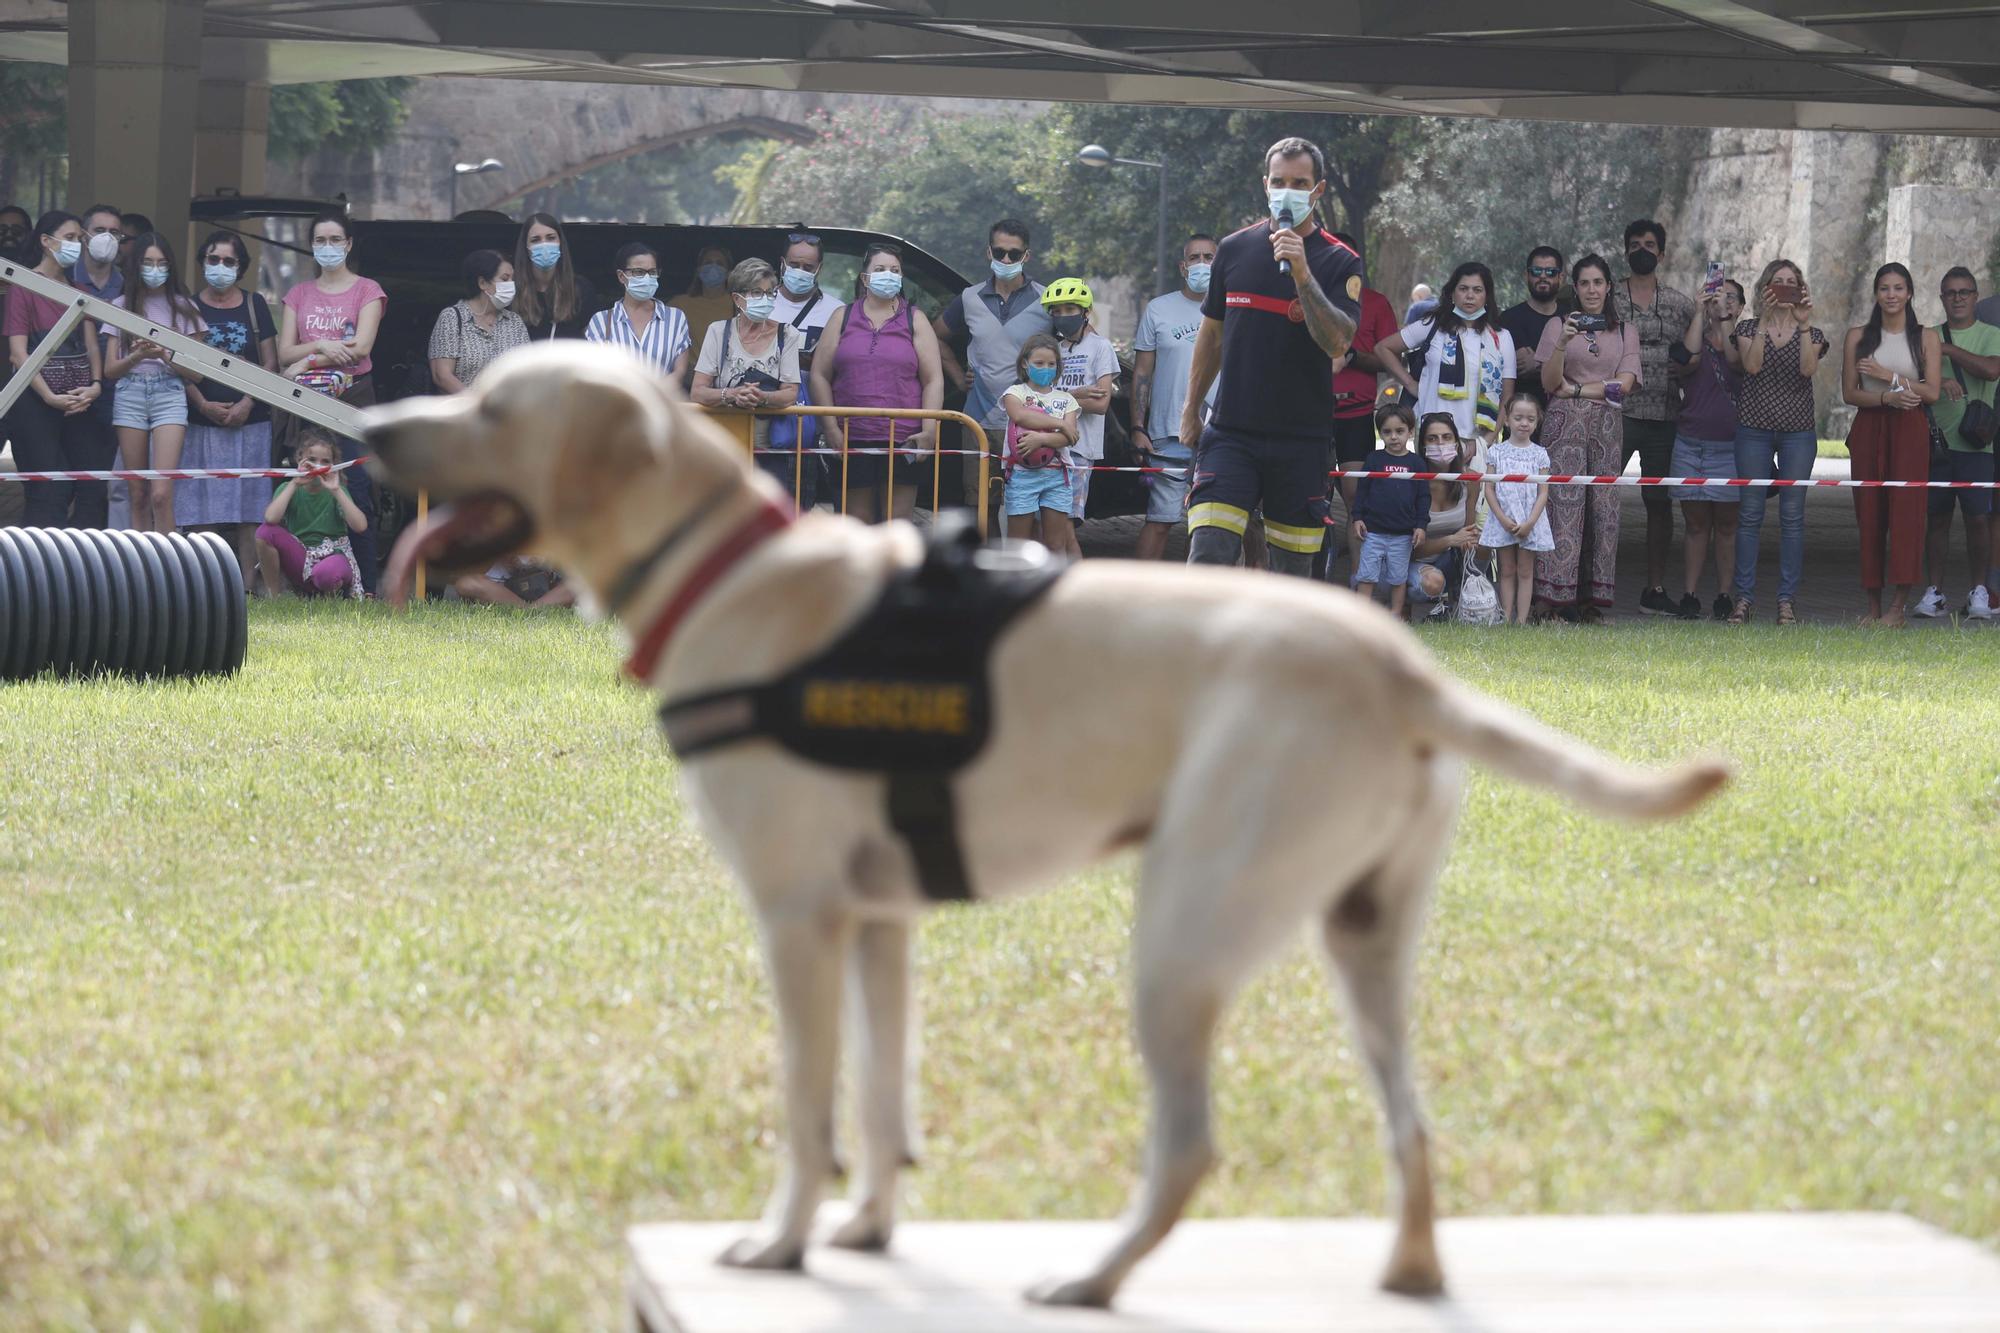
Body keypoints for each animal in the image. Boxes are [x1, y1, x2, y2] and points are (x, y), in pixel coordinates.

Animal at [364, 342, 1736, 1304]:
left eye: (494, 407)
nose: (370, 429)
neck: (729, 569)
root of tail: (1400, 664)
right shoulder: (878, 924)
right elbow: (880, 1099)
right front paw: (868, 1228)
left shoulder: (797, 918)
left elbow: (809, 1108)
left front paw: (783, 1239)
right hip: (1363, 942)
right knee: (1410, 1122)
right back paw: (1404, 1272)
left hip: (1177, 937)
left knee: (1186, 1146)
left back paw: (1091, 1276)